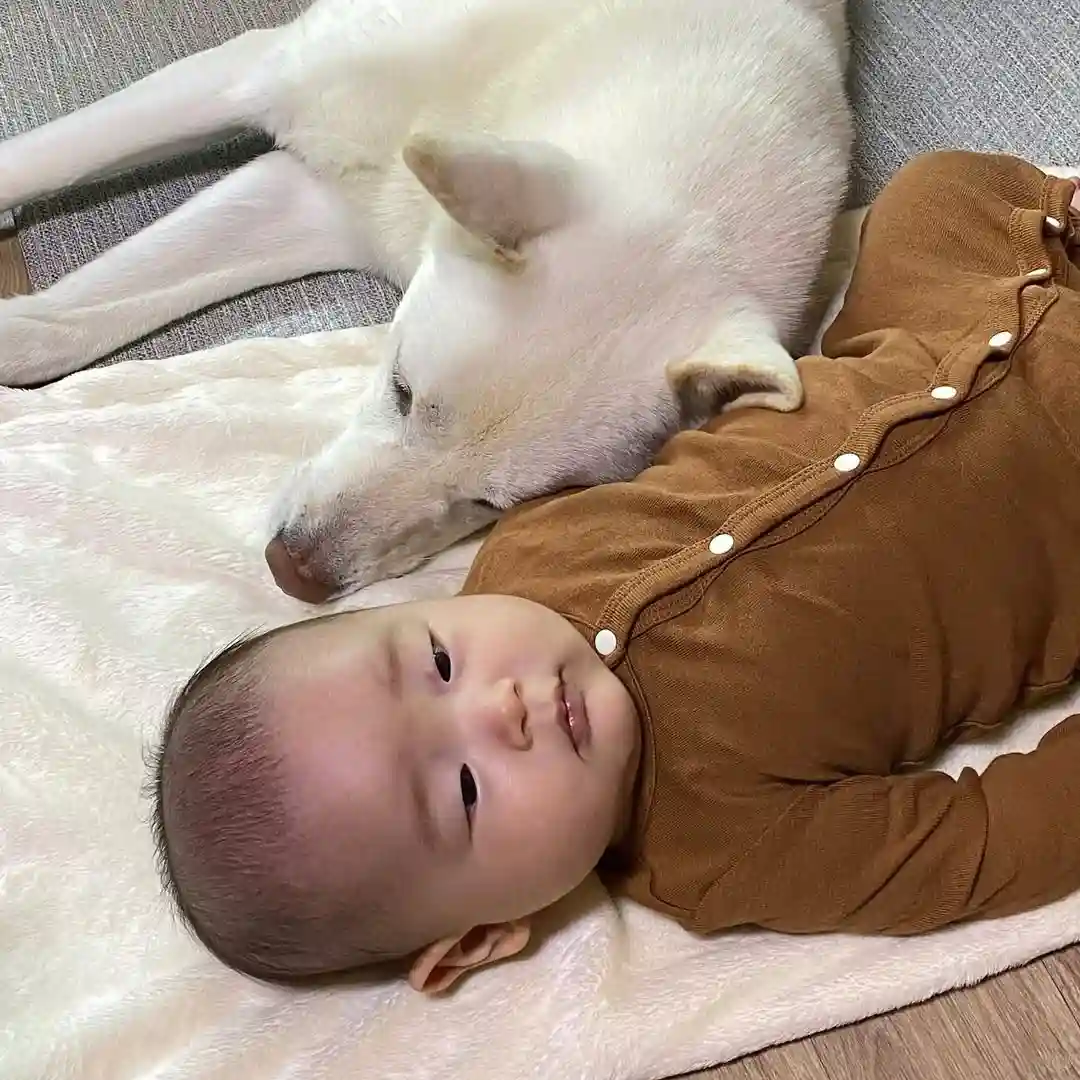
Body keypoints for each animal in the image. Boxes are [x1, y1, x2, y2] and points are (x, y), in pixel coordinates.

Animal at [0, 0, 853, 601]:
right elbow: (40, 163)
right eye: (403, 391)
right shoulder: (261, 72)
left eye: (487, 504)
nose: (293, 574)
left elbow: (58, 328)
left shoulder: (317, 208)